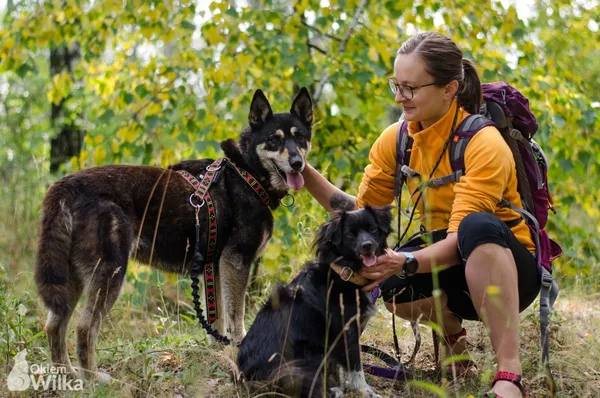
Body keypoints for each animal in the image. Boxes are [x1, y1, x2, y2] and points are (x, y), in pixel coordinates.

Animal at [34, 88, 314, 382]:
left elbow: (216, 321)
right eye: (274, 139)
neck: (246, 173)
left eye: (300, 137)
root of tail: (65, 186)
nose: (297, 163)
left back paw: (65, 375)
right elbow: (236, 320)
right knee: (84, 327)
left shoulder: (215, 268)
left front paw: (218, 355)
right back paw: (92, 379)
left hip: (71, 277)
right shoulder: (236, 262)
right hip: (109, 272)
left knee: (54, 324)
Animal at [237, 205, 396, 398]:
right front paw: (364, 391)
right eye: (349, 235)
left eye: (372, 229)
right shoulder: (345, 329)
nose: (367, 246)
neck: (345, 272)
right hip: (307, 354)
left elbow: (343, 366)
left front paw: (347, 385)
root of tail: (248, 376)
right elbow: (354, 364)